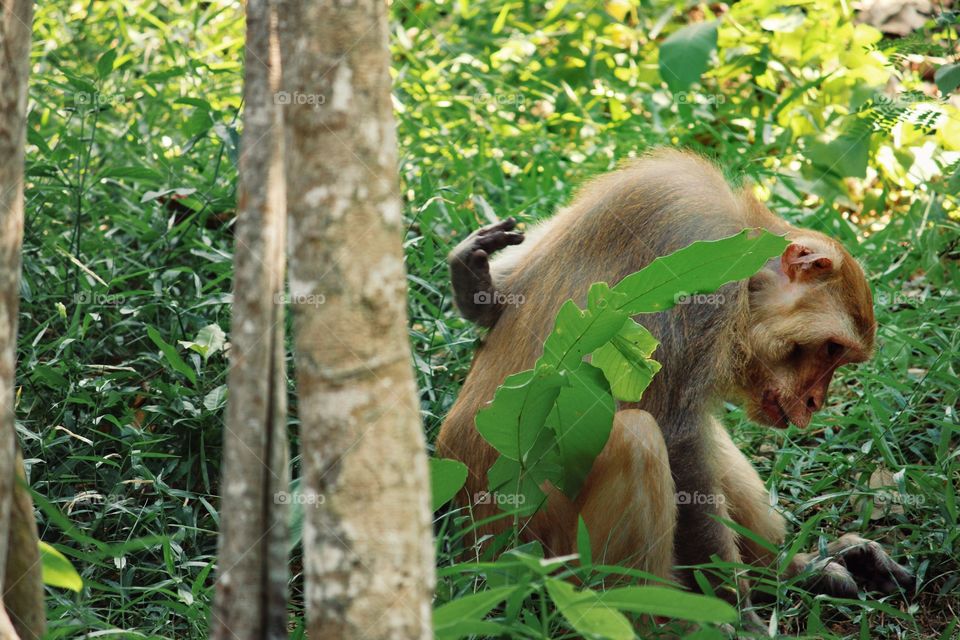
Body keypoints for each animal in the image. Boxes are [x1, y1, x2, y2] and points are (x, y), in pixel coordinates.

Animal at [437, 149, 914, 622]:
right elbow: (676, 439)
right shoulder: (703, 275)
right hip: (544, 559)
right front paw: (735, 614)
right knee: (638, 436)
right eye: (832, 348)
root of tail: (473, 549)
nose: (815, 401)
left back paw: (788, 569)